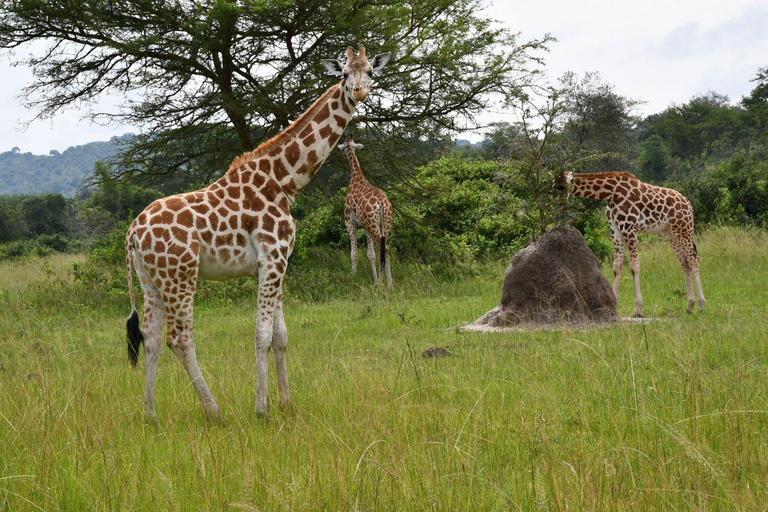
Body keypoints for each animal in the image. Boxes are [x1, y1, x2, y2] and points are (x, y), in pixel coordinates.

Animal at [127, 45, 392, 420]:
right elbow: (262, 335)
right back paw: (213, 411)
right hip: (180, 275)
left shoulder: (279, 263)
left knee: (150, 336)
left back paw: (150, 414)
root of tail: (134, 231)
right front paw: (262, 408)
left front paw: (287, 402)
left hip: (150, 278)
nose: (358, 92)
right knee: (179, 337)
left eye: (369, 71)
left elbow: (281, 336)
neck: (284, 182)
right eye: (343, 73)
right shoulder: (272, 257)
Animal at [552, 170, 708, 318]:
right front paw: (614, 303)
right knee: (684, 263)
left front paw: (638, 309)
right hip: (669, 232)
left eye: (564, 186)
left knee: (694, 259)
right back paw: (690, 307)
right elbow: (617, 267)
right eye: (553, 187)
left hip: (683, 228)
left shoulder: (630, 228)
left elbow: (634, 267)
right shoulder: (616, 230)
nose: (561, 206)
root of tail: (688, 204)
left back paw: (701, 305)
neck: (610, 195)